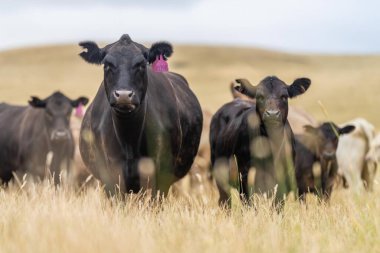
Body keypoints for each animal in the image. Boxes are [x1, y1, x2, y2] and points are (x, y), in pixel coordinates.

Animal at [78, 34, 203, 195]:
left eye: (141, 65)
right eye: (107, 65)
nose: (123, 95)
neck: (129, 140)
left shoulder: (161, 174)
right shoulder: (110, 176)